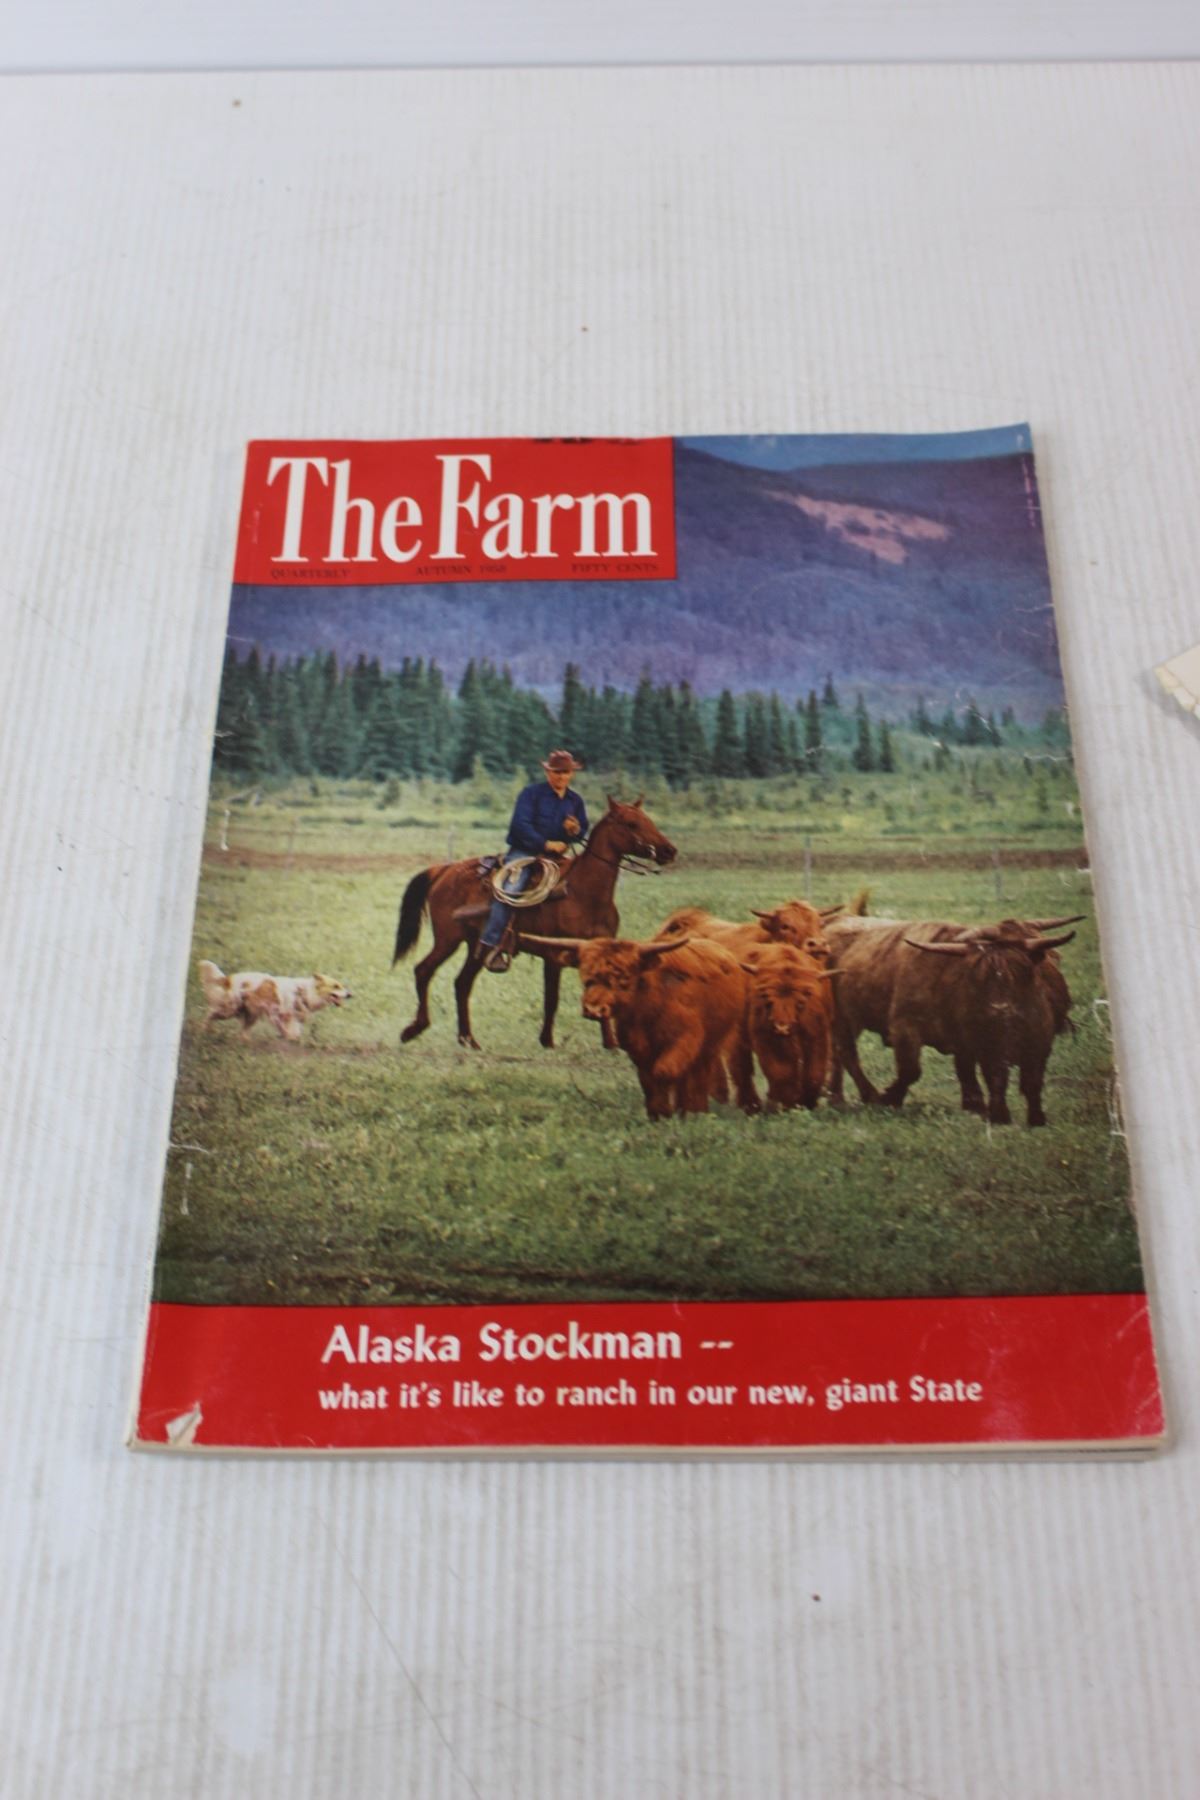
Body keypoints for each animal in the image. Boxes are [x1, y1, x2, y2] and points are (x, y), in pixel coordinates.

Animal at [392, 795, 677, 1050]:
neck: (583, 893)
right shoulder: (553, 955)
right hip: (448, 939)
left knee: (462, 983)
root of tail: (443, 870)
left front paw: (610, 1043)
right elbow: (552, 998)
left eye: (648, 819)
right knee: (423, 971)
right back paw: (415, 1029)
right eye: (631, 823)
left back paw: (468, 1040)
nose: (669, 850)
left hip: (476, 945)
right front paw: (547, 1041)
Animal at [522, 932, 758, 1119]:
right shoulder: (637, 1050)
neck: (649, 1009)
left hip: (712, 1044)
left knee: (698, 1073)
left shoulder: (686, 1040)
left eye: (624, 978)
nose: (594, 1010)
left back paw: (694, 1110)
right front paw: (657, 1112)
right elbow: (647, 1078)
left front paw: (668, 1110)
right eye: (586, 977)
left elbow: (664, 1071)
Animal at [739, 943, 837, 1110]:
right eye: (767, 999)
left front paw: (807, 1102)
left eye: (800, 1001)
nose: (782, 1028)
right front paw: (787, 1102)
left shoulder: (818, 1037)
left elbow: (814, 1073)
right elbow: (781, 1072)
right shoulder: (766, 1040)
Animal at [824, 914, 1084, 1127]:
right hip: (842, 1018)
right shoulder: (905, 1028)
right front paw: (889, 1098)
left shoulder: (990, 1044)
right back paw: (866, 1095)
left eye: (1025, 970)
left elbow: (983, 1074)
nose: (1001, 1010)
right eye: (980, 975)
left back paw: (836, 1097)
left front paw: (983, 1108)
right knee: (847, 1054)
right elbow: (911, 1071)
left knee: (837, 1054)